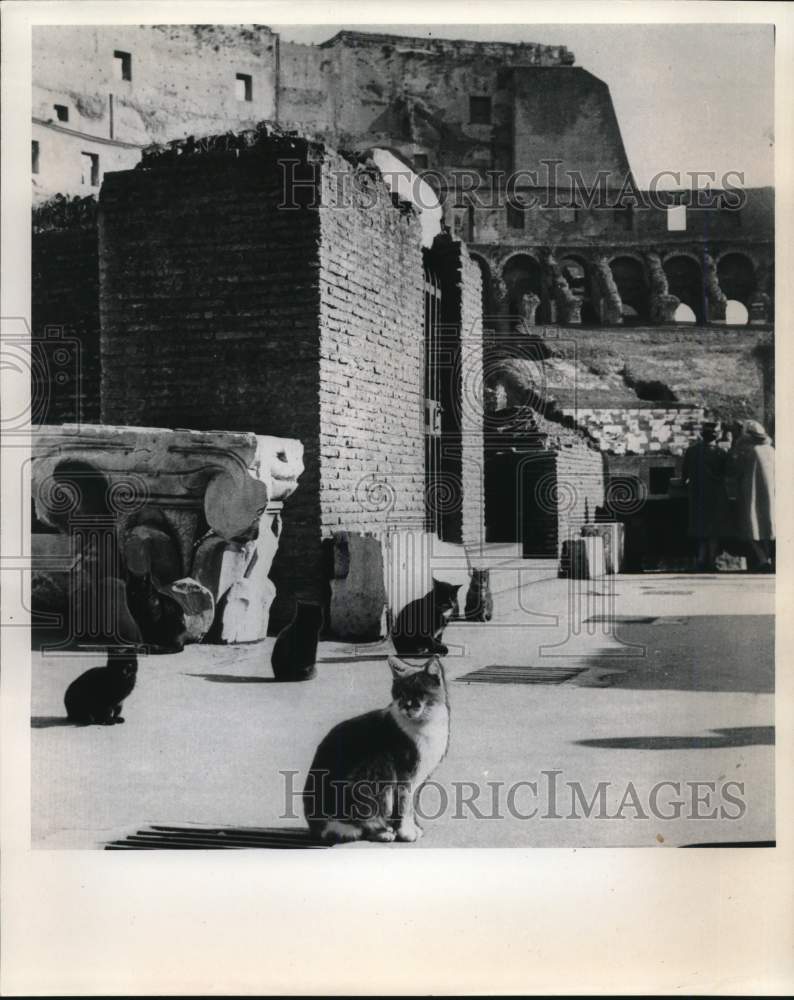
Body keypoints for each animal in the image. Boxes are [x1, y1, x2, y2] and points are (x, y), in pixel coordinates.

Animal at [304, 656, 448, 844]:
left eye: (419, 693)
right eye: (400, 694)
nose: (406, 706)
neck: (427, 723)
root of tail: (314, 828)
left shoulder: (419, 778)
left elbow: (412, 807)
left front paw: (414, 828)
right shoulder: (405, 774)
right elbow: (404, 806)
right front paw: (406, 833)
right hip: (373, 781)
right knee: (357, 827)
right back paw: (383, 833)